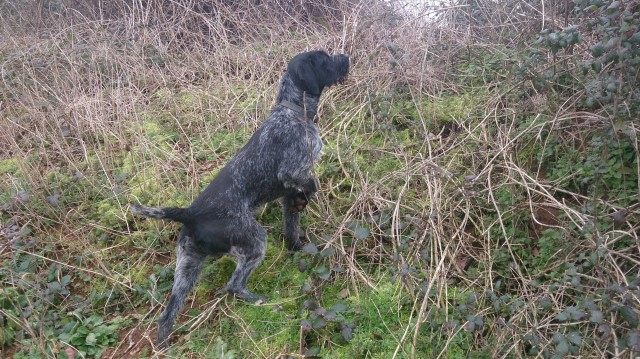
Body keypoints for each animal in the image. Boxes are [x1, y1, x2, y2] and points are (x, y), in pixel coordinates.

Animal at [131, 50, 350, 348]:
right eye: (325, 59)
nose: (346, 57)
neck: (293, 110)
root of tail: (190, 213)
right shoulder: (293, 171)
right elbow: (309, 185)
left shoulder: (287, 195)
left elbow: (291, 225)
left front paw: (297, 247)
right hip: (254, 241)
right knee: (234, 285)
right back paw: (260, 301)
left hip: (187, 266)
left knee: (166, 315)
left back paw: (164, 346)